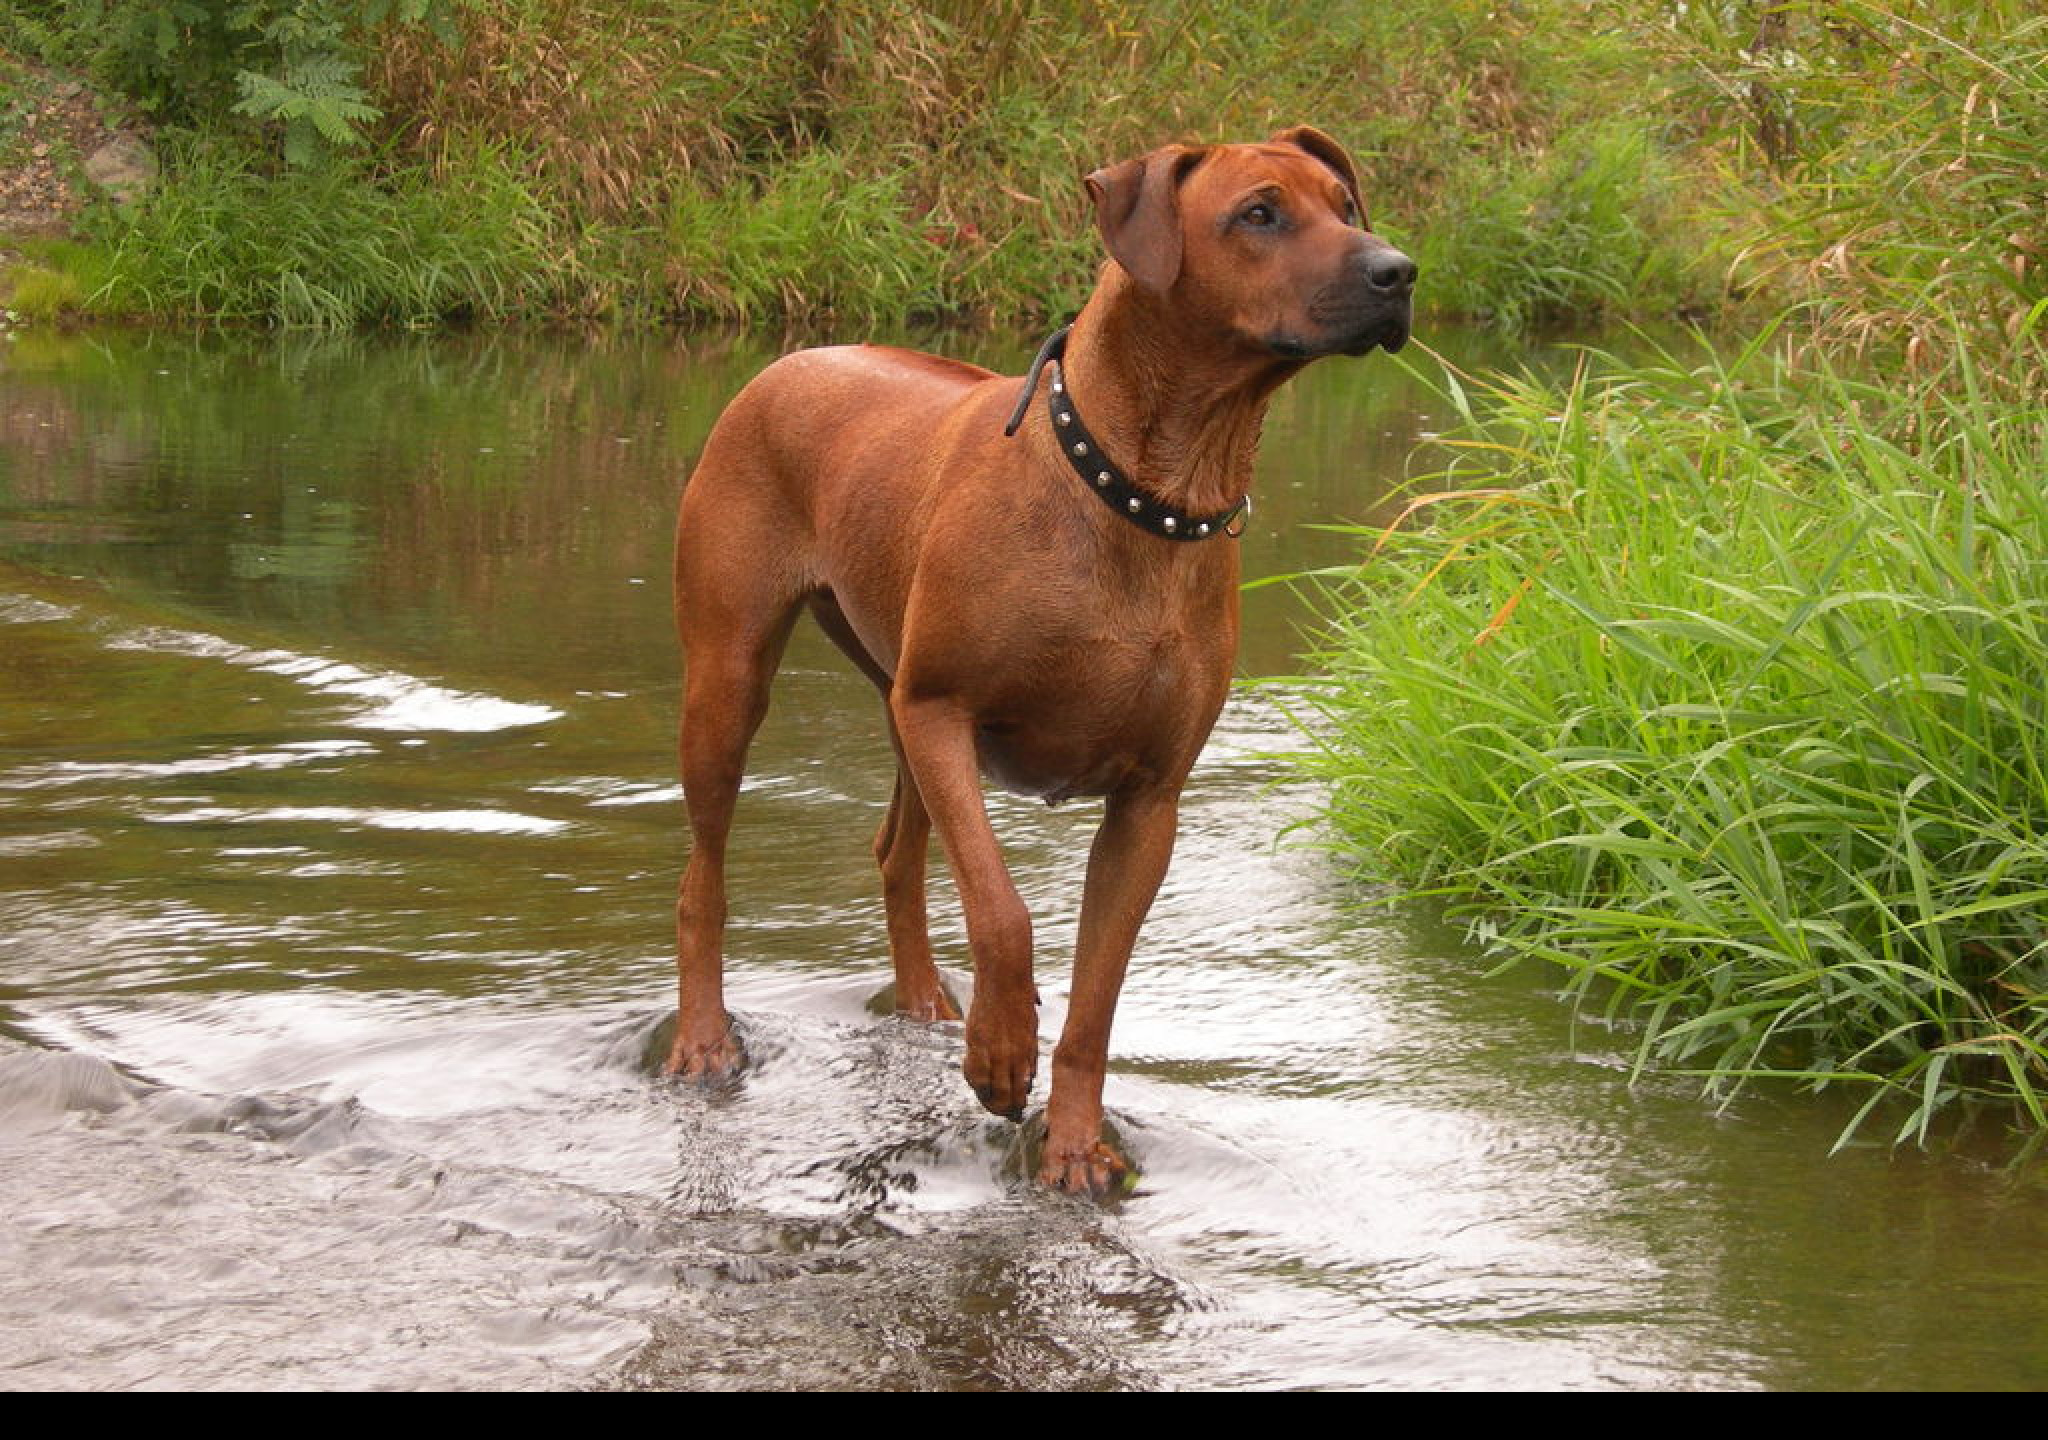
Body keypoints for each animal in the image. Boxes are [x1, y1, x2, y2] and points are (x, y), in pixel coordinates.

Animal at [663, 129, 1417, 1196]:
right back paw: (702, 1039)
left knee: (895, 852)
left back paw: (924, 1002)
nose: (1399, 271)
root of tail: (794, 355)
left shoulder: (1149, 802)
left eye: (1346, 204)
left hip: (891, 692)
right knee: (704, 876)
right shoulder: (945, 711)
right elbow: (1004, 913)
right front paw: (1001, 1052)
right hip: (734, 678)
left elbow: (1096, 1001)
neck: (1151, 490)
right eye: (1259, 214)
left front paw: (1073, 1146)